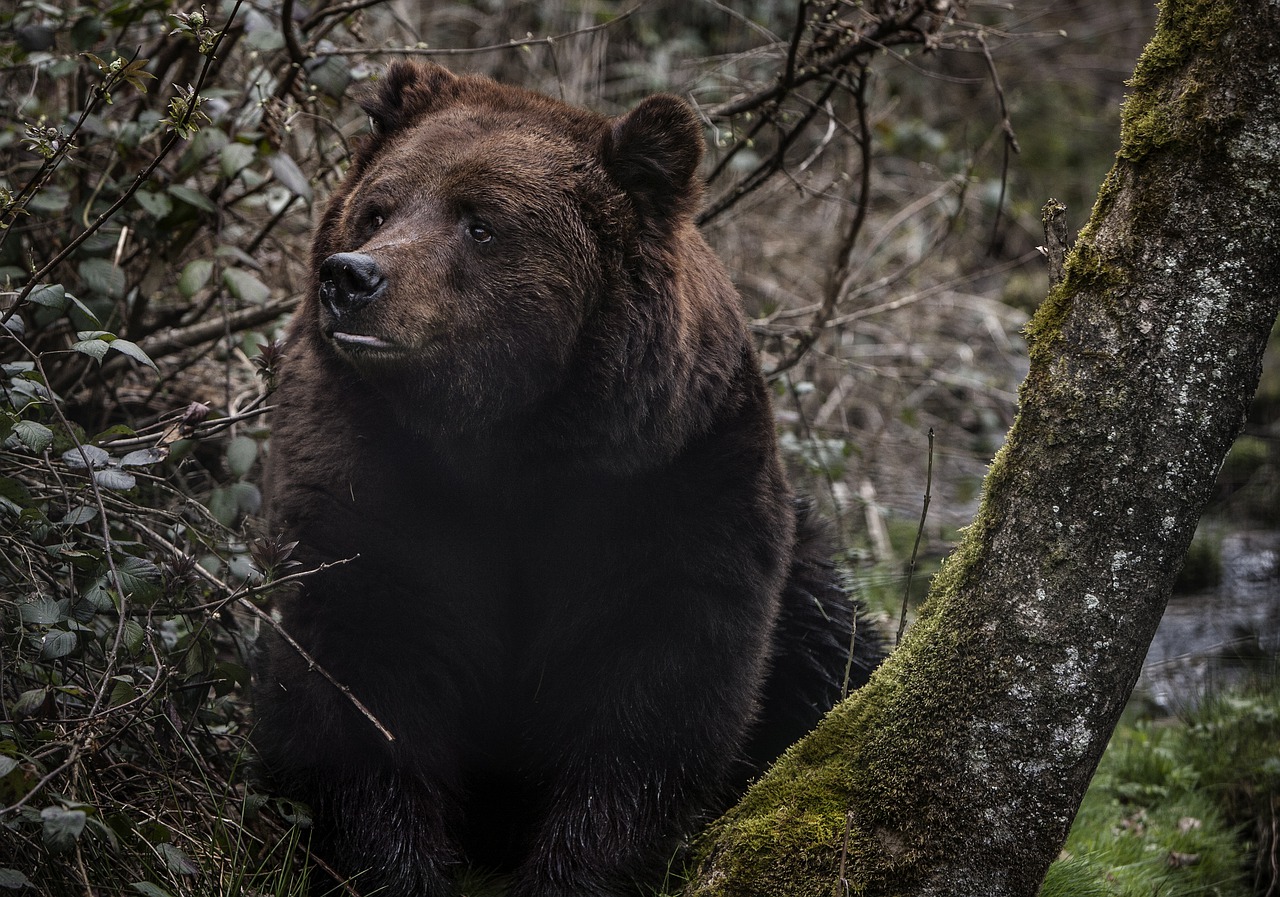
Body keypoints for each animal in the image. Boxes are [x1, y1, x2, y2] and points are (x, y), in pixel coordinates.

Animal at [254, 63, 885, 895]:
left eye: (480, 222)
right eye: (377, 208)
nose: (352, 277)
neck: (510, 445)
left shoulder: (671, 481)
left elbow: (654, 693)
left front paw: (575, 871)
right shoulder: (371, 472)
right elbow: (364, 666)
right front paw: (397, 866)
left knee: (833, 649)